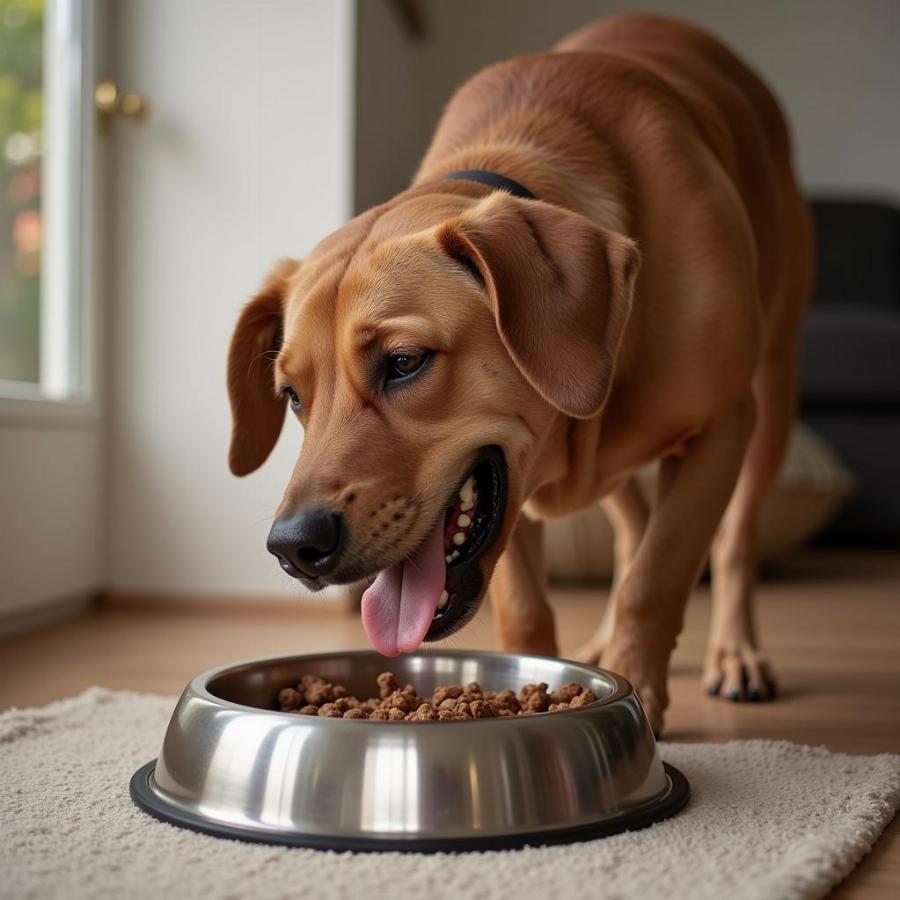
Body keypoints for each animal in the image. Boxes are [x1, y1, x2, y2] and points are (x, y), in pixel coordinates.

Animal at [227, 14, 816, 736]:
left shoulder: (719, 430)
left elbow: (658, 579)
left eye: (404, 362)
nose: (293, 546)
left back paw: (736, 652)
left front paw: (642, 694)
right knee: (632, 523)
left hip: (772, 394)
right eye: (292, 396)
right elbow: (530, 605)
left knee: (734, 541)